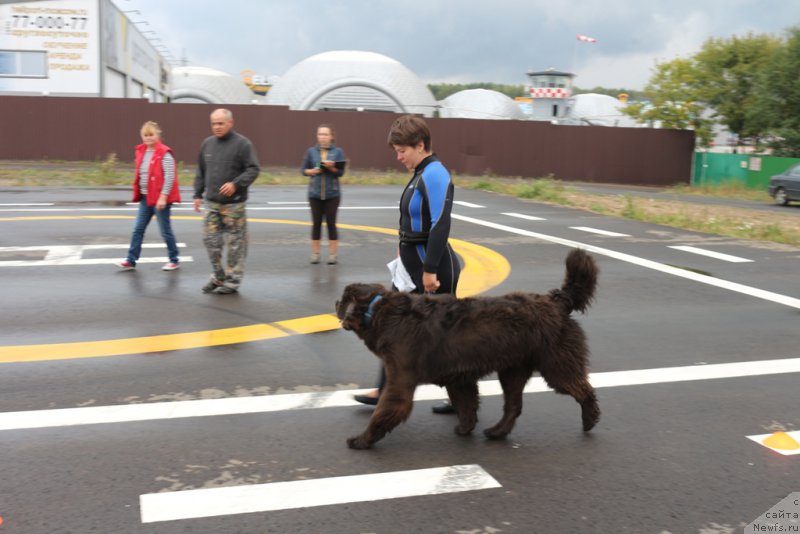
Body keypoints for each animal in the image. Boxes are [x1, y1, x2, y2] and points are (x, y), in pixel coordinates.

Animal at [334, 249, 604, 450]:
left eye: (344, 298)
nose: (336, 302)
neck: (380, 311)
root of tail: (557, 301)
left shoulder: (400, 380)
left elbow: (385, 411)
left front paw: (361, 440)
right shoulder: (458, 377)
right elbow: (467, 404)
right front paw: (465, 428)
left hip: (556, 365)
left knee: (583, 389)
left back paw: (590, 420)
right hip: (513, 370)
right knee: (513, 405)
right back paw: (497, 431)